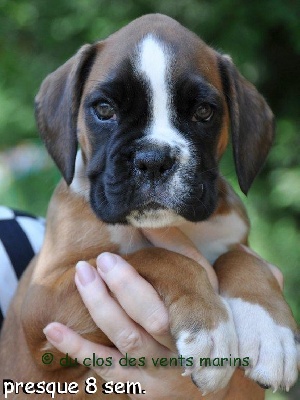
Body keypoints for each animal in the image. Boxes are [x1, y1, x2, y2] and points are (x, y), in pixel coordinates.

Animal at [0, 14, 298, 398]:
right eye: (104, 109)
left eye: (203, 112)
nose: (153, 159)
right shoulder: (43, 298)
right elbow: (154, 257)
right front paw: (209, 328)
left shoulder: (232, 236)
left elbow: (244, 259)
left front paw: (271, 331)